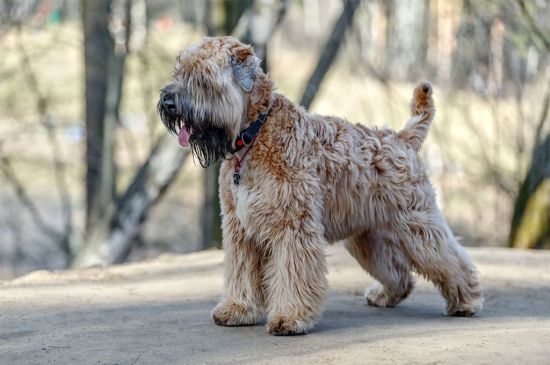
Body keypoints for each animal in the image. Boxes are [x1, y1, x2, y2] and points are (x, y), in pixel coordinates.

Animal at [158, 35, 484, 334]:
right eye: (179, 71)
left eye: (202, 77)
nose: (168, 102)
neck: (254, 135)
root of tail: (403, 138)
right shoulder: (241, 230)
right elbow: (242, 273)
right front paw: (238, 309)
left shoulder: (292, 226)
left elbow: (293, 274)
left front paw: (290, 318)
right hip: (368, 237)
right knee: (399, 273)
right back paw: (384, 295)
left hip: (418, 227)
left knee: (450, 260)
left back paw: (466, 302)